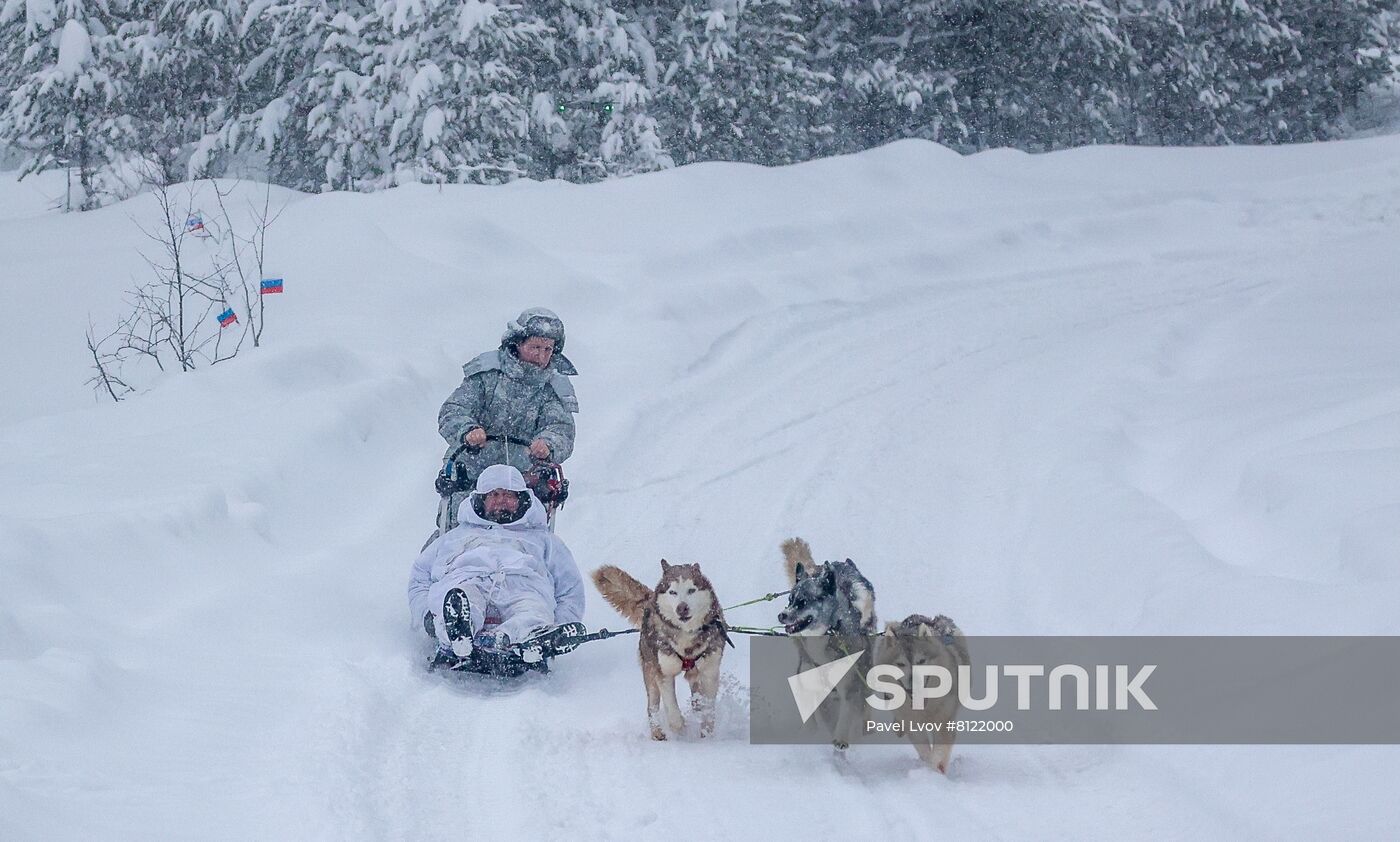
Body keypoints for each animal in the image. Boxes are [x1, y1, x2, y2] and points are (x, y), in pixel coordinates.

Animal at [593, 560, 733, 739]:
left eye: (691, 590)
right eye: (672, 592)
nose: (682, 608)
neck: (686, 637)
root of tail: (650, 599)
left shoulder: (710, 671)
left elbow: (708, 708)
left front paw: (707, 735)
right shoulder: (663, 672)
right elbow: (671, 706)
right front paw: (679, 726)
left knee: (696, 696)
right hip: (650, 670)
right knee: (652, 706)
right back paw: (657, 732)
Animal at [778, 535, 873, 745]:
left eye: (803, 601)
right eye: (789, 600)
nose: (781, 615)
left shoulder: (850, 684)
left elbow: (847, 712)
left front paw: (841, 739)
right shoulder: (815, 687)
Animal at [879, 613, 968, 773]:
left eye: (921, 661)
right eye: (900, 664)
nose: (914, 682)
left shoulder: (944, 721)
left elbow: (938, 752)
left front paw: (935, 771)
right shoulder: (912, 724)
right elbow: (924, 749)